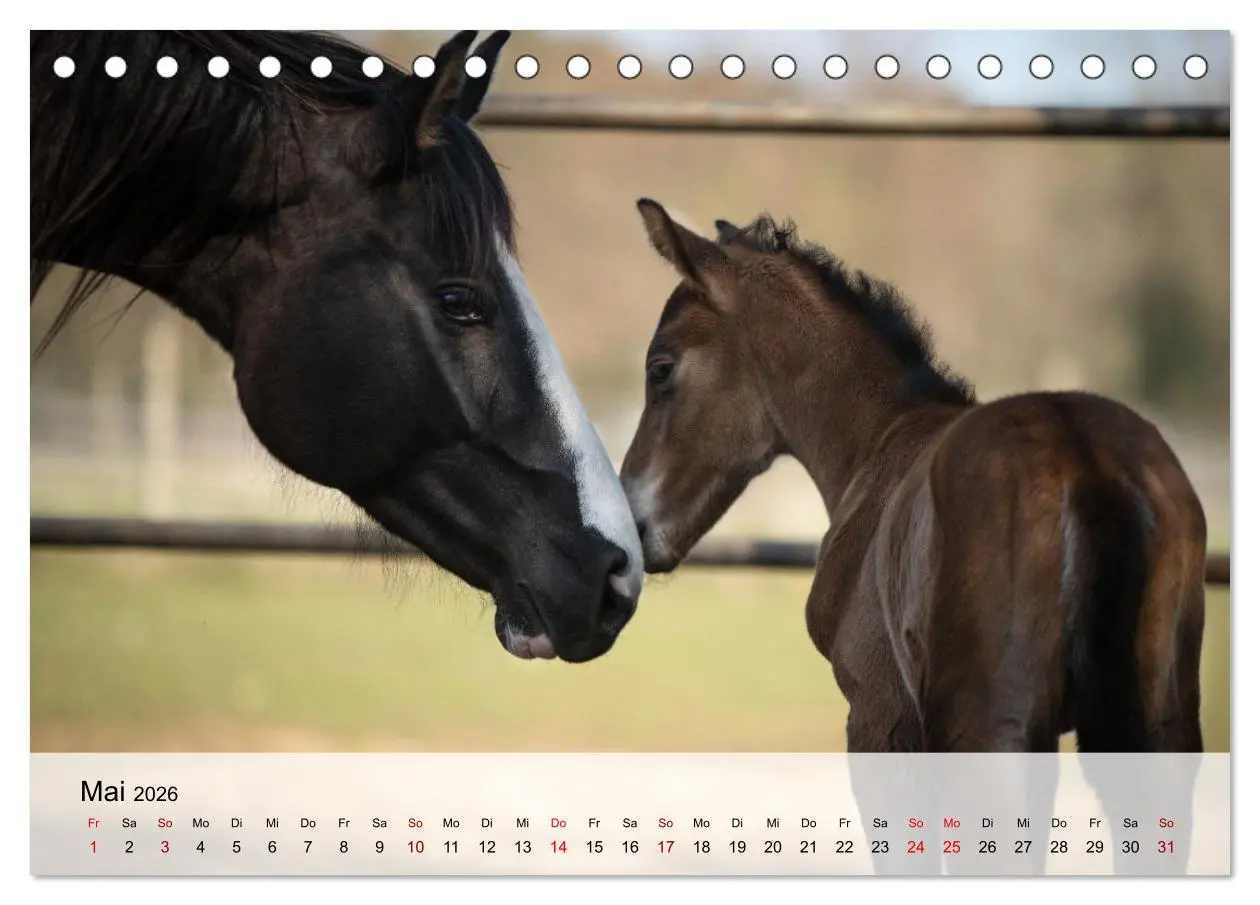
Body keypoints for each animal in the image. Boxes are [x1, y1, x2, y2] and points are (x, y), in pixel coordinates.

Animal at [618, 200, 1206, 874]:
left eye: (661, 369)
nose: (633, 524)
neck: (880, 439)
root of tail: (1082, 457)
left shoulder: (881, 722)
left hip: (990, 742)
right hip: (1153, 741)